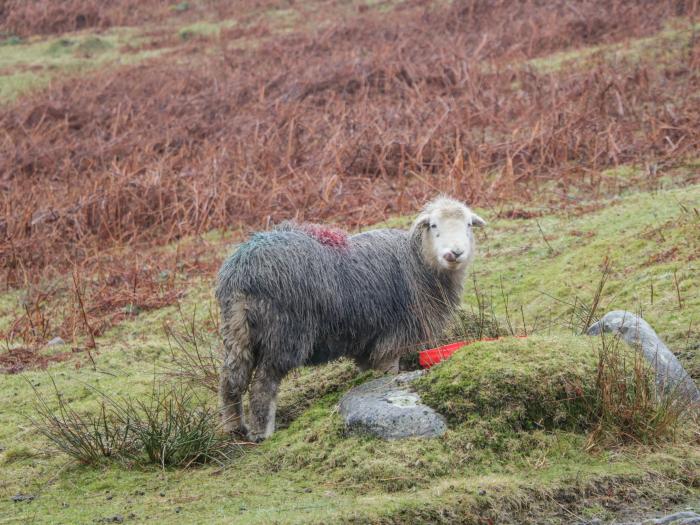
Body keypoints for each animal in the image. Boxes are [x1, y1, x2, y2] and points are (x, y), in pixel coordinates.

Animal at [216, 194, 484, 440]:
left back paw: (234, 427)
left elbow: (367, 372)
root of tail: (243, 271)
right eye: (434, 225)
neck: (418, 263)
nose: (455, 253)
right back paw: (263, 433)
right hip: (284, 333)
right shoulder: (392, 338)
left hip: (236, 330)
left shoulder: (367, 341)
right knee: (263, 385)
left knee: (231, 379)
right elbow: (388, 373)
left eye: (468, 225)